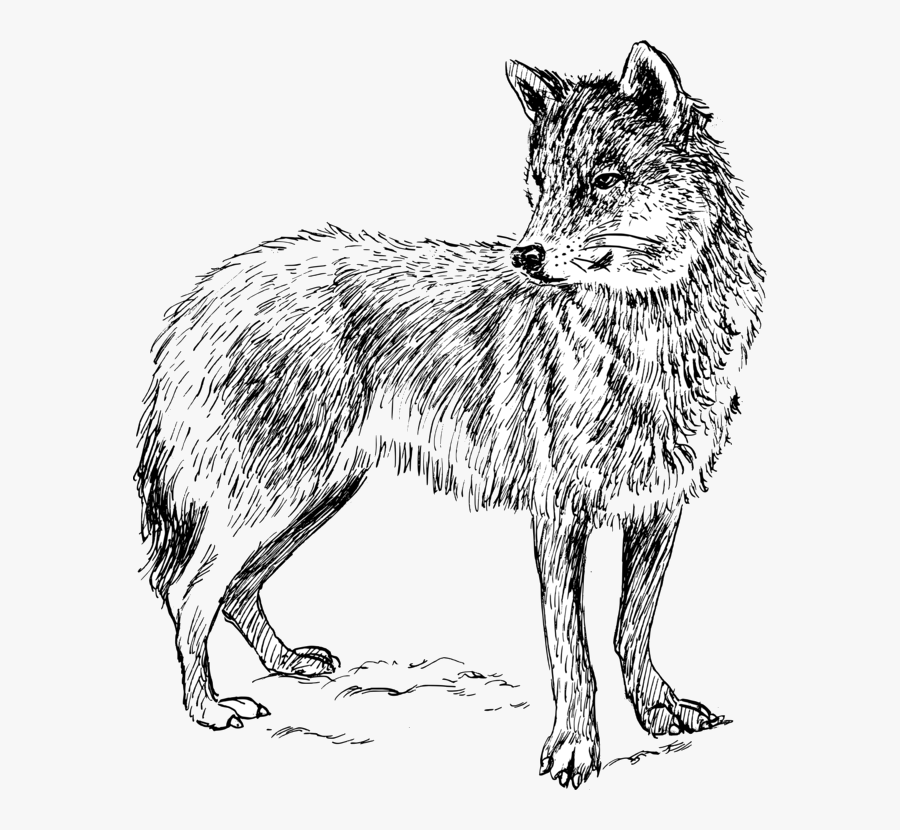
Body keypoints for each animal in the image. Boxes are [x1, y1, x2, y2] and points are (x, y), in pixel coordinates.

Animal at [136, 41, 764, 788]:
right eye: (539, 187)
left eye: (602, 184)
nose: (527, 256)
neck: (644, 338)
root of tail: (197, 298)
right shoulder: (558, 518)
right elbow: (573, 653)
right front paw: (575, 749)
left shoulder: (658, 509)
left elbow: (631, 630)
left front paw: (657, 712)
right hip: (269, 496)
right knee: (188, 593)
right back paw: (208, 709)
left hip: (316, 495)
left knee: (232, 589)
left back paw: (286, 664)